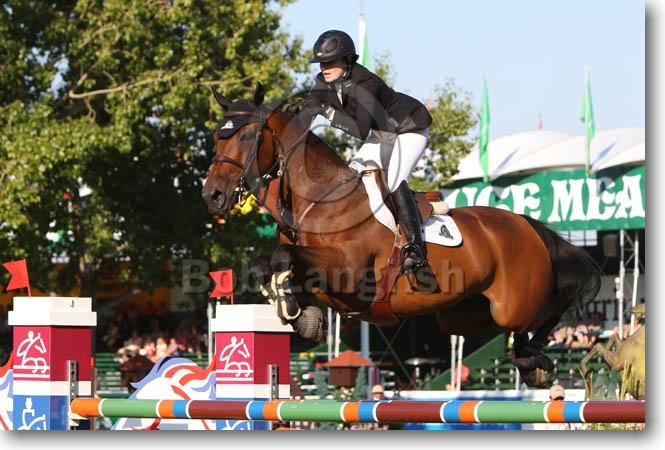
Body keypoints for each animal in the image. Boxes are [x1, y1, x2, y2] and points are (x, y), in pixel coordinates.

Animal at [201, 82, 602, 387]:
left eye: (248, 136)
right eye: (217, 138)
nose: (213, 195)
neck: (320, 199)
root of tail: (525, 223)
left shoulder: (348, 273)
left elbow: (283, 258)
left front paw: (294, 310)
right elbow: (265, 264)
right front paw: (300, 316)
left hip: (514, 301)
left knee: (547, 309)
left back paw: (538, 361)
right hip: (462, 312)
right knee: (507, 330)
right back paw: (532, 361)